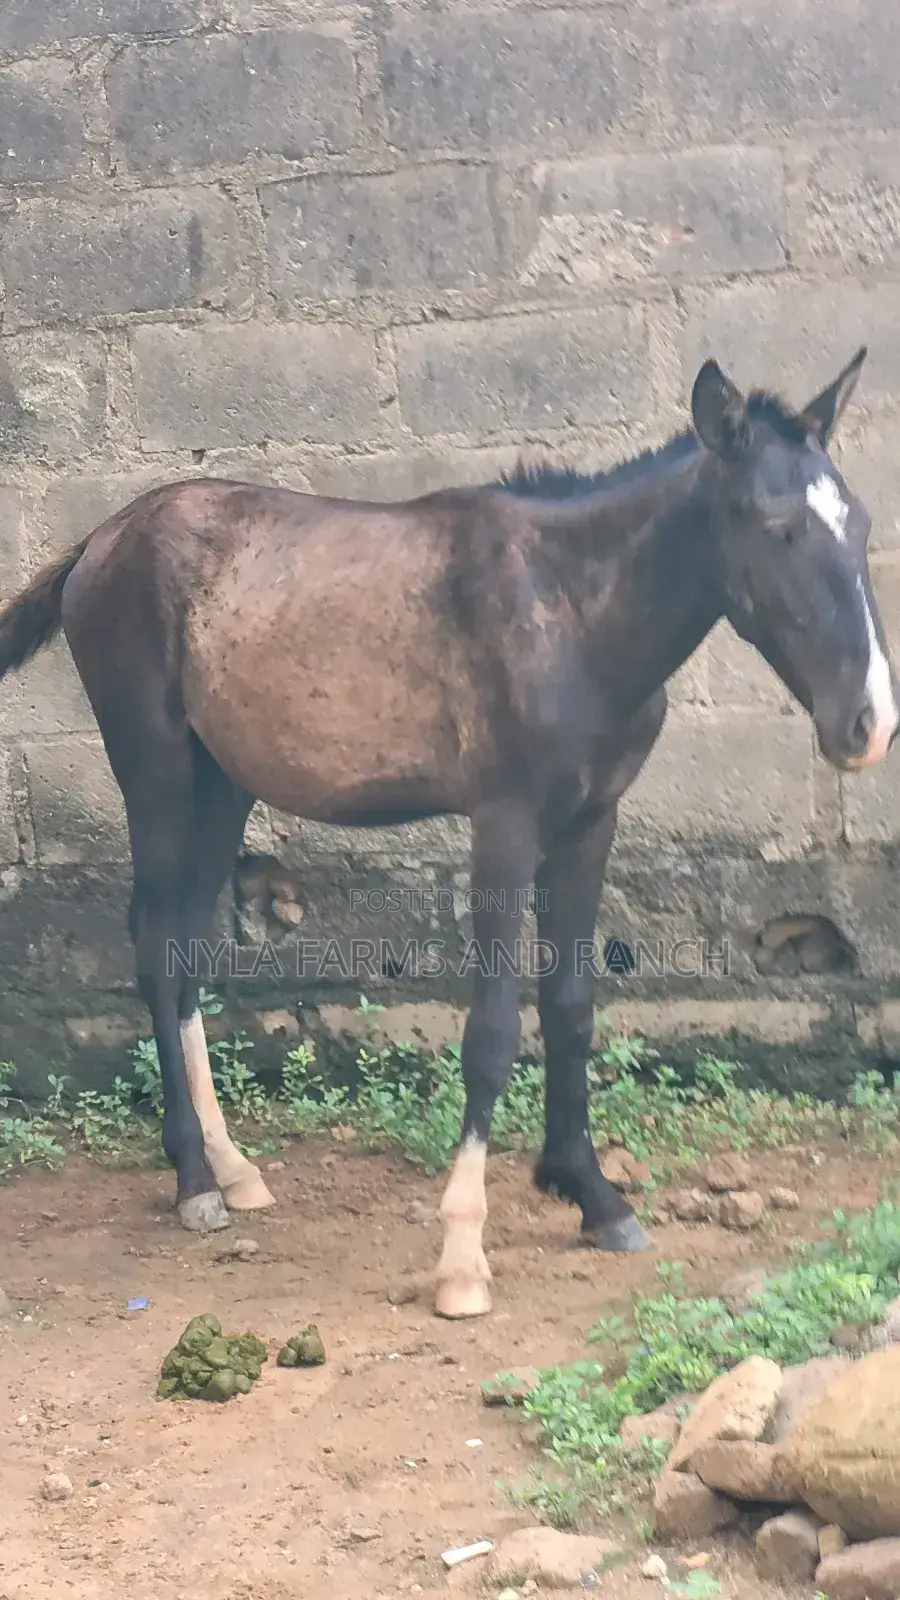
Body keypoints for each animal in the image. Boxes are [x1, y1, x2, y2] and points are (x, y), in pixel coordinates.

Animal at [0, 348, 894, 1319]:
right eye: (778, 528)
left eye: (860, 522)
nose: (870, 725)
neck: (570, 611)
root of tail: (99, 540)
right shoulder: (504, 822)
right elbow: (494, 1030)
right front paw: (463, 1256)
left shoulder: (591, 821)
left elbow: (571, 1005)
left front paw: (593, 1195)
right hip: (156, 772)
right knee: (157, 950)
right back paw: (196, 1180)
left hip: (221, 786)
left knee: (187, 945)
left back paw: (234, 1167)